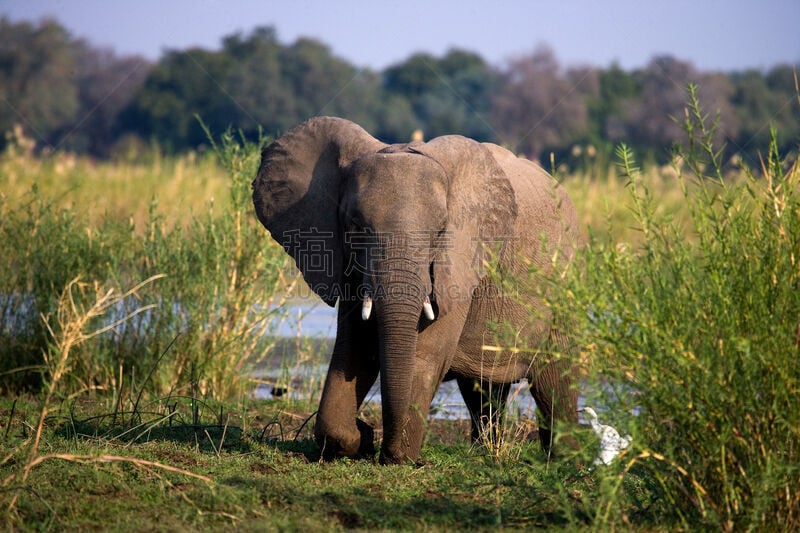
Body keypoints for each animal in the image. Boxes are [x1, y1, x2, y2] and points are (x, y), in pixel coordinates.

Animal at [253, 115, 580, 462]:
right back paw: (483, 454)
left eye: (440, 232)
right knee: (483, 389)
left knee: (555, 380)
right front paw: (361, 439)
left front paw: (396, 458)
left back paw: (566, 459)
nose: (370, 430)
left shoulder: (460, 263)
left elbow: (424, 352)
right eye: (355, 227)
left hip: (567, 280)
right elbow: (355, 348)